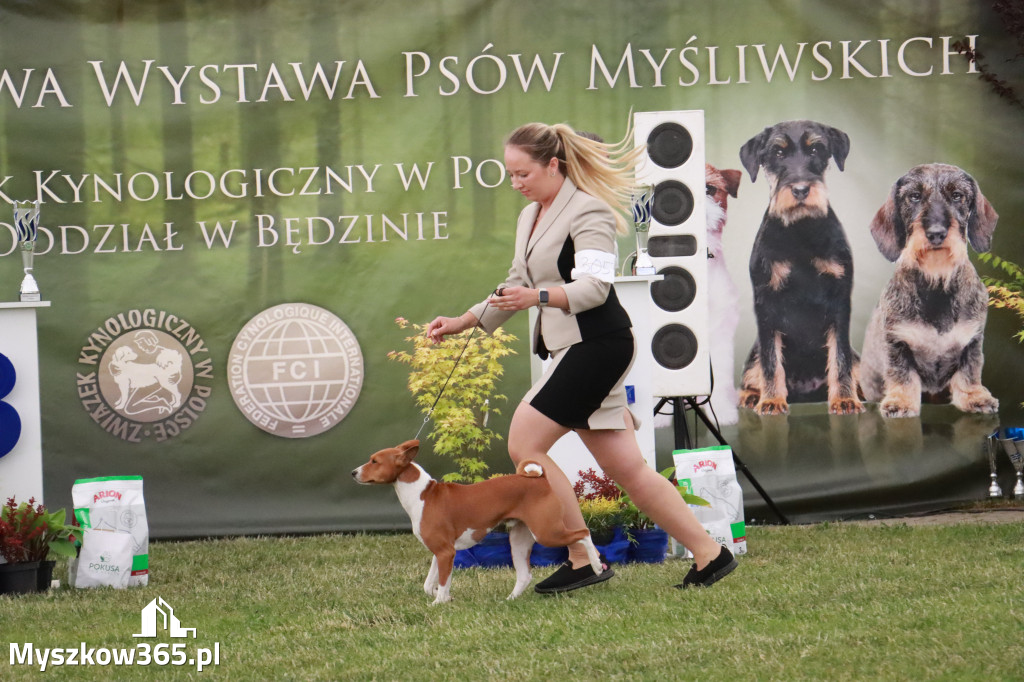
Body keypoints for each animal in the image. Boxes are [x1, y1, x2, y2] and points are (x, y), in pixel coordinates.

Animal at [356, 438, 602, 602]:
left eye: (374, 461)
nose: (353, 472)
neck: (422, 495)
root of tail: (540, 479)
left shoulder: (446, 552)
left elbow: (442, 582)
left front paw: (439, 602)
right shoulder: (440, 551)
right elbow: (430, 583)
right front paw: (441, 595)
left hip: (547, 532)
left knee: (584, 533)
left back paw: (598, 567)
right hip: (519, 540)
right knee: (525, 575)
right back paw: (509, 600)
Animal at [860, 163, 995, 413]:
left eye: (957, 195)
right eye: (914, 196)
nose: (936, 233)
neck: (936, 285)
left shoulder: (972, 340)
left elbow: (969, 372)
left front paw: (975, 397)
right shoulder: (897, 342)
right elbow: (902, 373)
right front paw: (901, 401)